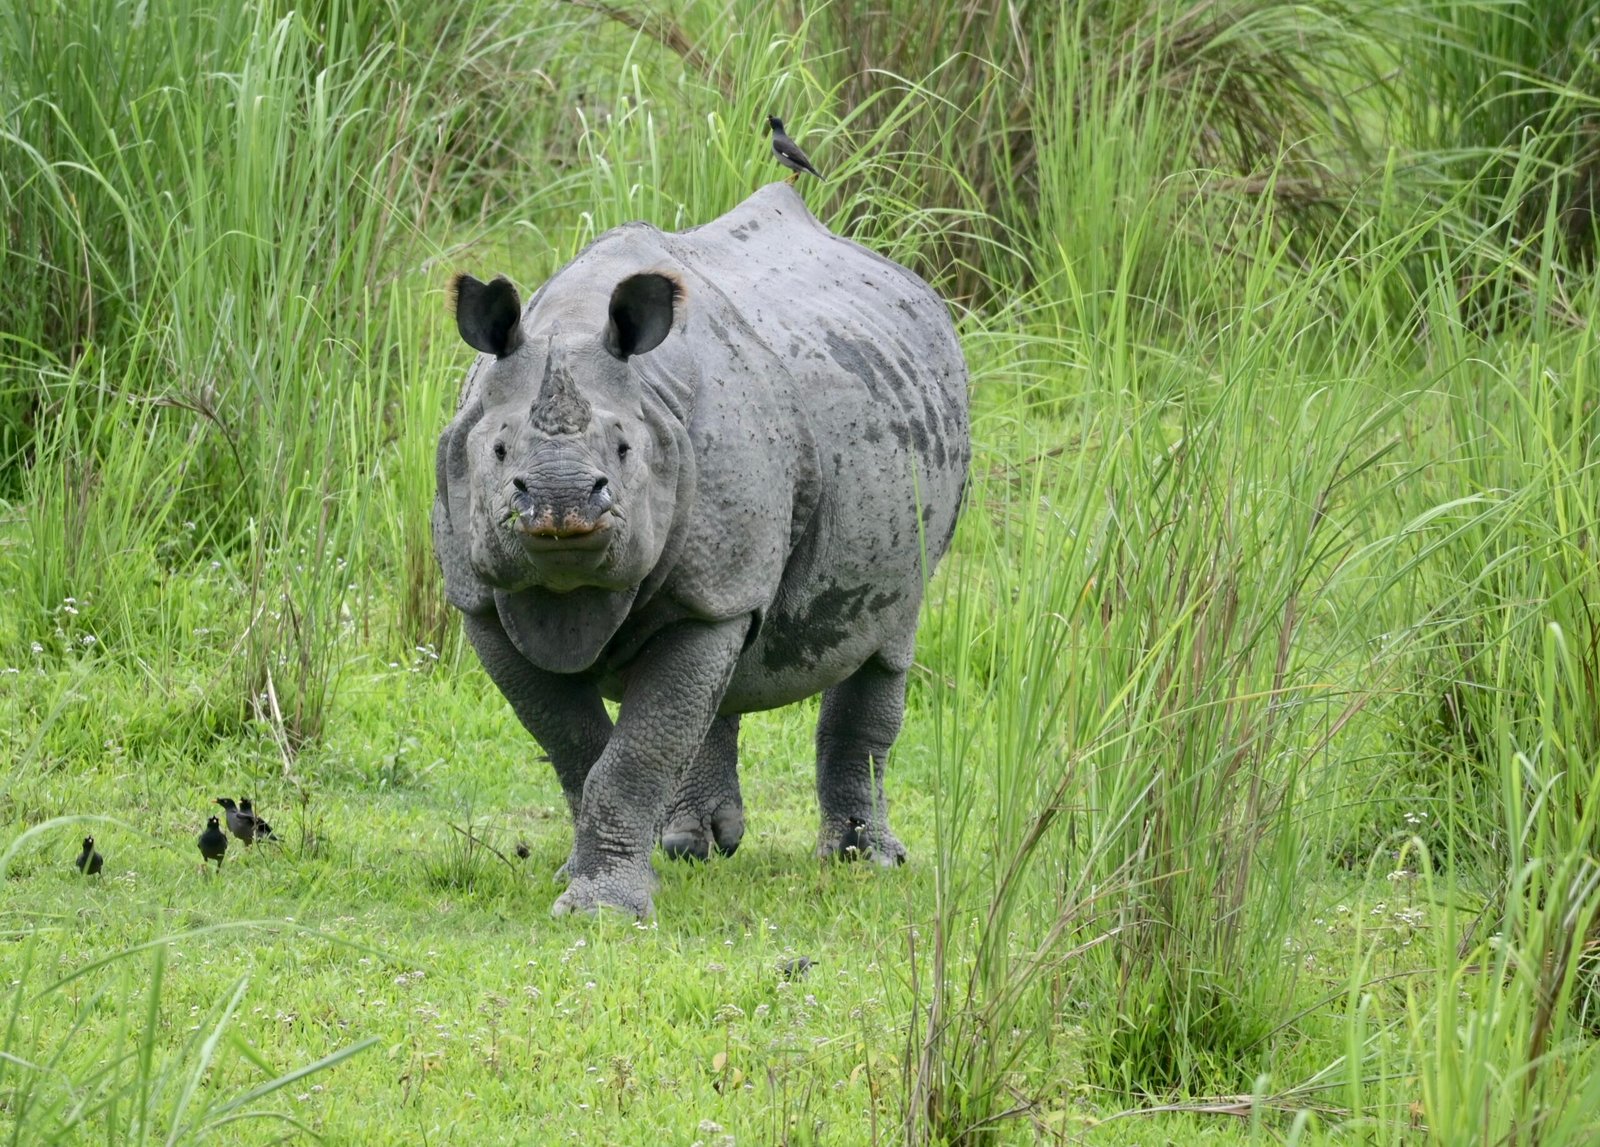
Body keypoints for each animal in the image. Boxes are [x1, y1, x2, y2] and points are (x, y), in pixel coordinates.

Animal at [434, 183, 969, 916]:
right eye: (497, 451)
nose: (562, 499)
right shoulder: (481, 600)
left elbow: (639, 750)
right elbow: (577, 742)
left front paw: (604, 908)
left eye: (623, 450)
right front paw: (598, 873)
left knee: (885, 640)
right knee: (721, 670)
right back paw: (695, 845)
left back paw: (864, 861)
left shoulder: (714, 585)